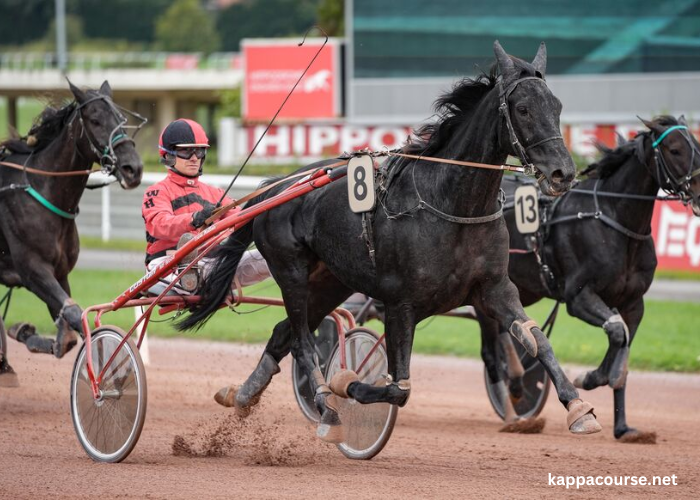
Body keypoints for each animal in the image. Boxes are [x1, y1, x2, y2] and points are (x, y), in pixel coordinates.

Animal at [0, 81, 144, 386]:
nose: (133, 168)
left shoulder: (61, 274)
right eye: (95, 120)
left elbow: (72, 326)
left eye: (121, 120)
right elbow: (76, 316)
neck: (41, 190)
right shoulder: (32, 270)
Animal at [182, 42, 600, 442]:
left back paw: (242, 395)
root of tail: (273, 188)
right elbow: (399, 387)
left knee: (283, 333)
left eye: (557, 106)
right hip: (291, 271)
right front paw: (345, 382)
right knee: (301, 342)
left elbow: (536, 341)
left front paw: (579, 408)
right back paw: (326, 407)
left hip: (330, 281)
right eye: (524, 108)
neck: (450, 205)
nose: (563, 172)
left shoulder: (495, 289)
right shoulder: (401, 304)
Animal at [478, 116, 700, 442]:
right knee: (490, 350)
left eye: (697, 144)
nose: (699, 190)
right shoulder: (579, 297)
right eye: (674, 150)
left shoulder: (634, 304)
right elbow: (616, 333)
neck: (612, 219)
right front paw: (590, 377)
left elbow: (623, 349)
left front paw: (623, 427)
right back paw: (512, 407)